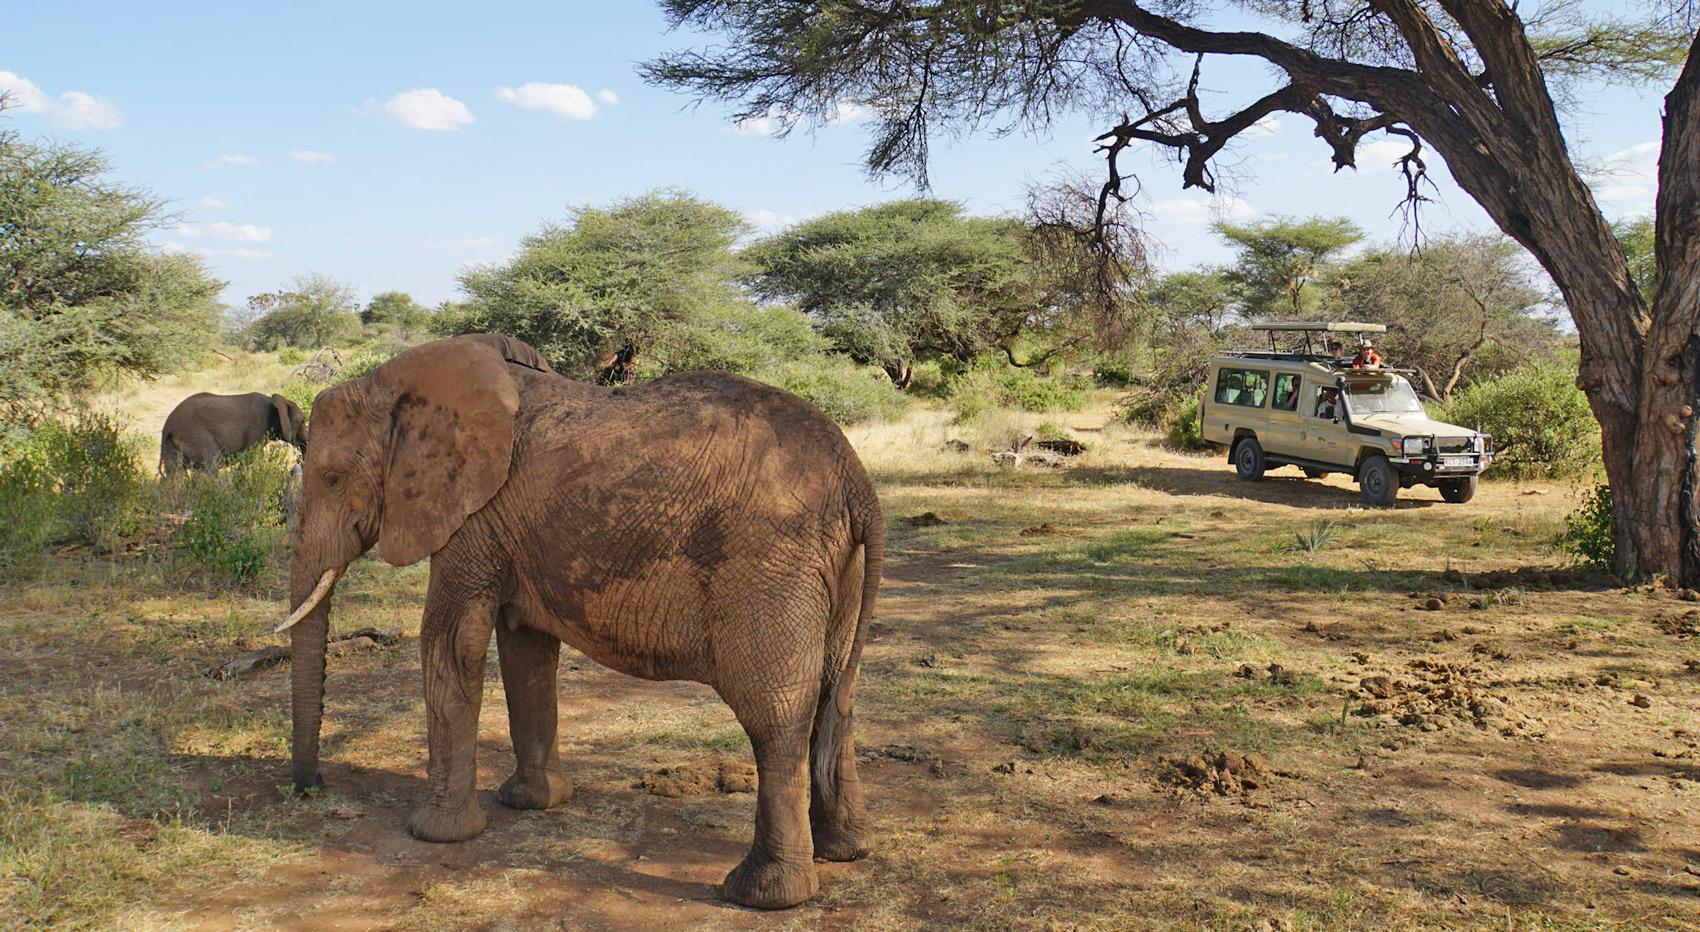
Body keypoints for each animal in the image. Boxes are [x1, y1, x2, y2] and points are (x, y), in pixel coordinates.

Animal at [160, 391, 306, 476]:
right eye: (303, 420)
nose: (299, 462)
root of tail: (168, 427)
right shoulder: (257, 428)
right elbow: (249, 459)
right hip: (196, 436)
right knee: (212, 466)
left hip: (171, 445)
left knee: (174, 476)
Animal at [277, 335, 883, 910]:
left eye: (332, 479)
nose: (312, 787)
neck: (400, 387)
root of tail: (856, 480)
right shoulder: (508, 527)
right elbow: (525, 651)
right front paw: (532, 802)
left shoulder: (473, 515)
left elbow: (451, 643)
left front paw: (436, 834)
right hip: (836, 567)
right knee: (837, 696)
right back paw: (846, 851)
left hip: (768, 564)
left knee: (776, 718)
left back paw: (761, 895)